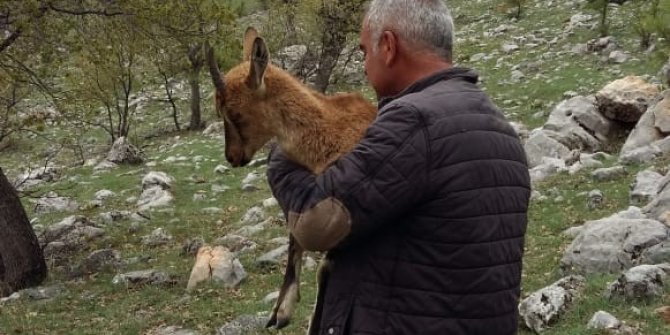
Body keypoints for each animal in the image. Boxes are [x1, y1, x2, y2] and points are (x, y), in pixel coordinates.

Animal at [206, 27, 378, 332]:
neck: (326, 133)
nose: (233, 157)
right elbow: (294, 243)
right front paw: (281, 312)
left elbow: (324, 267)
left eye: (235, 112)